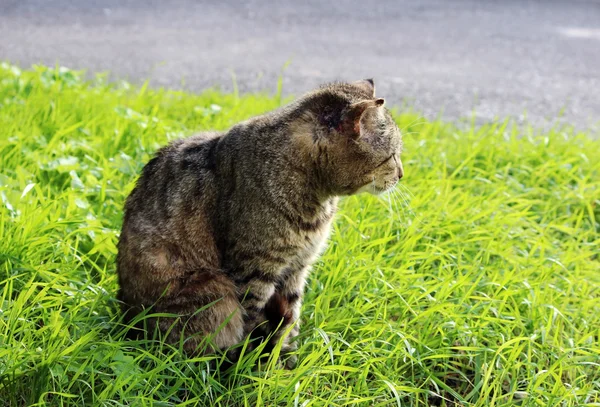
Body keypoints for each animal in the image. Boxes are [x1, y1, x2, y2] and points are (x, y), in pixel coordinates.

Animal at [115, 78, 406, 368]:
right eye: (392, 156)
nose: (402, 174)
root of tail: (127, 320)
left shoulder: (297, 269)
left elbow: (290, 322)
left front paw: (288, 361)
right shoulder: (255, 271)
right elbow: (253, 326)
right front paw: (261, 368)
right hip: (213, 289)